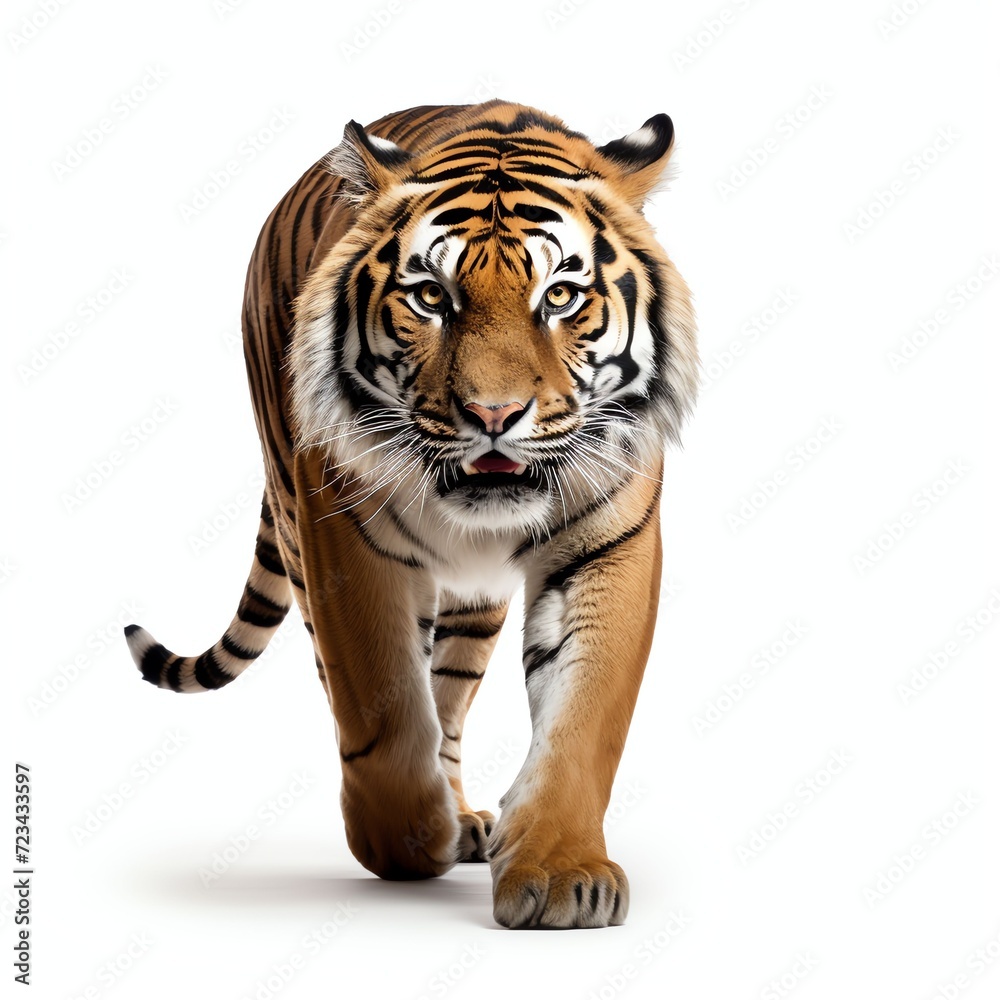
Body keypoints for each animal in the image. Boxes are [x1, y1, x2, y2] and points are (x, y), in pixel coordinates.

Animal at [124, 100, 698, 929]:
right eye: (431, 298)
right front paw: (404, 840)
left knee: (450, 697)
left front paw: (562, 874)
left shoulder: (610, 540)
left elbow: (584, 715)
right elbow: (382, 702)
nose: (494, 415)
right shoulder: (345, 539)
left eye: (560, 297)